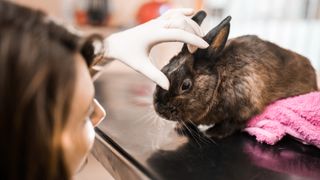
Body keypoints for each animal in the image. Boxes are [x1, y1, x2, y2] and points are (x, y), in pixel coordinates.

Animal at [152, 10, 318, 139]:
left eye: (185, 85)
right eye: (164, 69)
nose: (159, 108)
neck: (219, 80)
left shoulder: (245, 107)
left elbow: (232, 124)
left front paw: (212, 133)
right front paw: (180, 127)